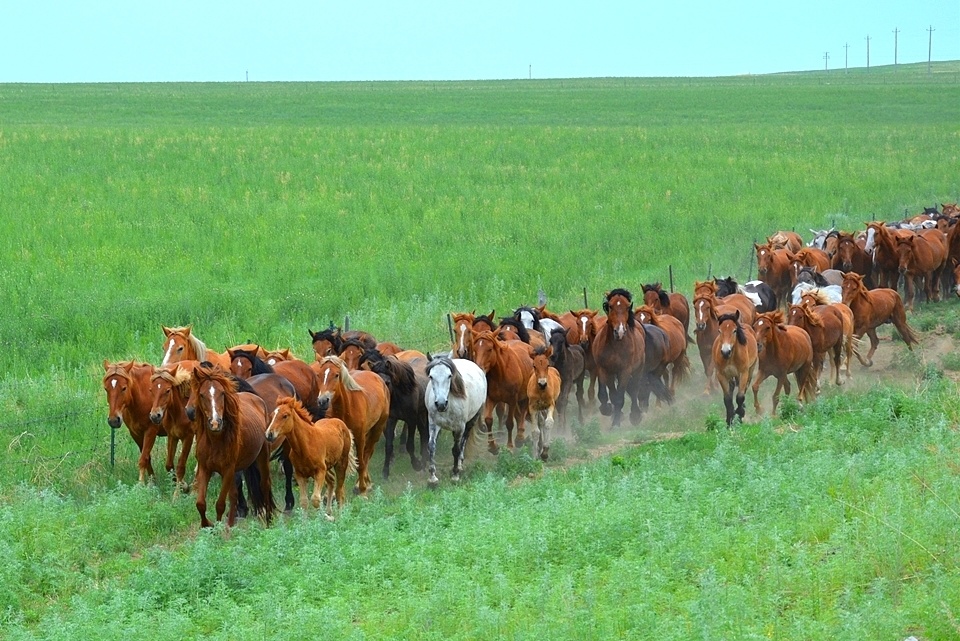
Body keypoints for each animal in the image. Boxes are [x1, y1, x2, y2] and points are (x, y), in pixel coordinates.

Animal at [186, 362, 274, 528]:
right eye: (201, 394)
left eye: (222, 393)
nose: (215, 423)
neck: (215, 441)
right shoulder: (205, 468)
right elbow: (200, 503)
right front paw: (208, 525)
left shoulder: (227, 470)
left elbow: (220, 503)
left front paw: (220, 527)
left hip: (262, 457)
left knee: (264, 485)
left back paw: (268, 521)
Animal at [316, 356, 390, 496]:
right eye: (318, 374)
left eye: (336, 375)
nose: (322, 401)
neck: (347, 407)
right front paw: (331, 493)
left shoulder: (359, 436)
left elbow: (361, 463)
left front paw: (362, 490)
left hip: (377, 429)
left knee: (367, 454)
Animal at [358, 348, 430, 478]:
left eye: (387, 382)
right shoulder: (391, 420)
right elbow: (388, 446)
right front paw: (385, 471)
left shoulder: (411, 420)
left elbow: (409, 445)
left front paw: (416, 464)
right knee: (424, 433)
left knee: (425, 434)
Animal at [424, 356, 488, 484]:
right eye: (431, 376)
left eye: (449, 376)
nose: (441, 404)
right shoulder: (433, 424)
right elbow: (431, 446)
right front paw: (433, 478)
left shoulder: (459, 427)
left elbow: (456, 449)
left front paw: (455, 475)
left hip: (472, 419)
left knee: (464, 440)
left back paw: (459, 465)